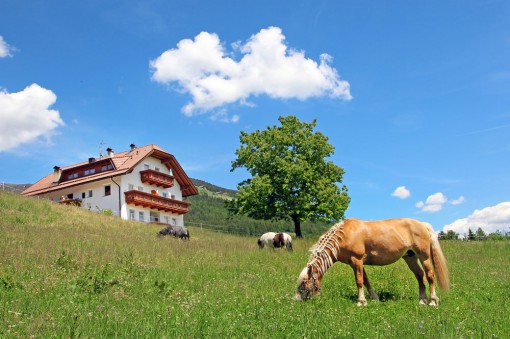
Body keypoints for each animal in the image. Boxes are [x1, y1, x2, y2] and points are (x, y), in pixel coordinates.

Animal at [294, 219, 450, 306]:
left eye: (304, 282)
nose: (296, 299)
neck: (344, 235)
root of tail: (422, 224)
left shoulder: (357, 260)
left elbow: (359, 281)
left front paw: (361, 302)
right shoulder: (356, 263)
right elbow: (366, 280)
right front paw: (374, 298)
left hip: (424, 256)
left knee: (429, 275)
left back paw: (433, 301)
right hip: (410, 257)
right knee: (420, 275)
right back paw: (422, 301)